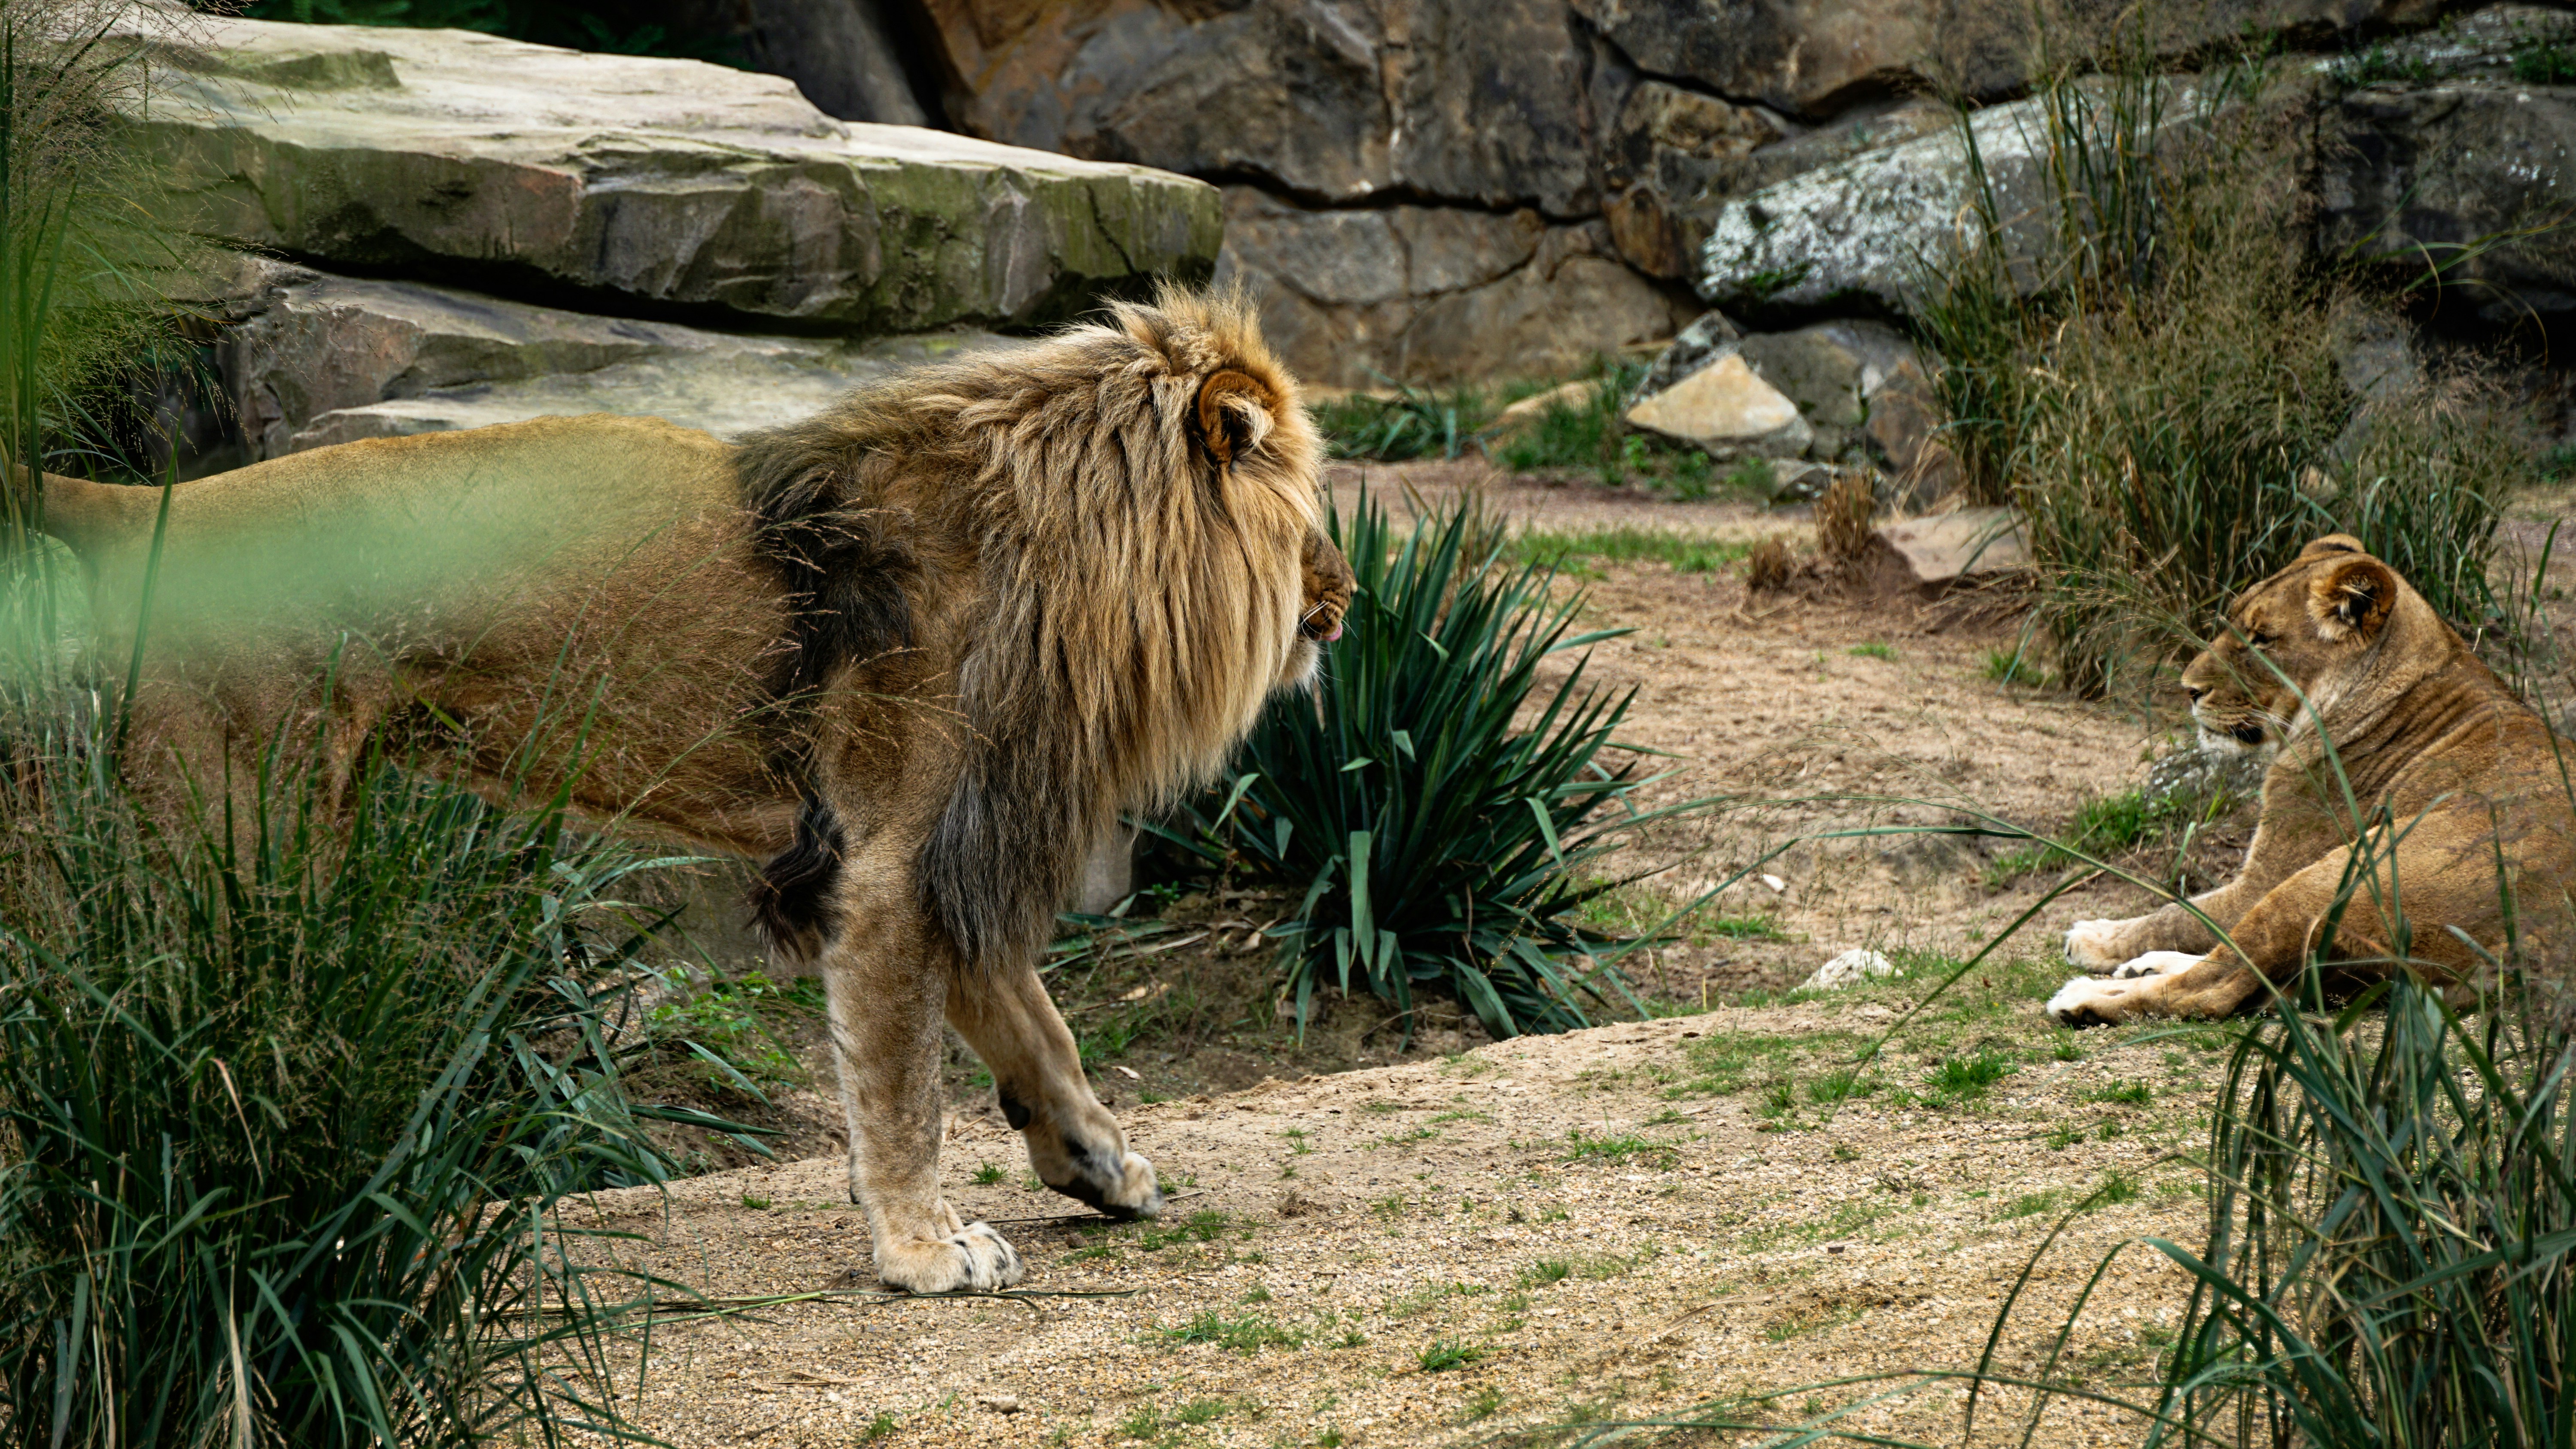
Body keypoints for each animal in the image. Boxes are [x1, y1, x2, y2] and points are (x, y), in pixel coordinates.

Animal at [36, 286, 1354, 1293]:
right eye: (1309, 517)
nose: (1348, 600)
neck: (1060, 543)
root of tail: (146, 509)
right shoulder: (884, 864)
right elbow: (906, 1083)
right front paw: (924, 1252)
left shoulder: (939, 847)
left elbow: (1039, 1029)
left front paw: (1099, 1166)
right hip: (237, 845)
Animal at [2047, 534, 2574, 1027]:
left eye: (2262, 639)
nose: (2188, 689)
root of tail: (2548, 942)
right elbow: (2193, 913)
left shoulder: (2264, 879)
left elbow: (2179, 912)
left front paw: (2093, 938)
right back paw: (2148, 968)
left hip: (2333, 878)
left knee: (2216, 988)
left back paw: (2087, 997)